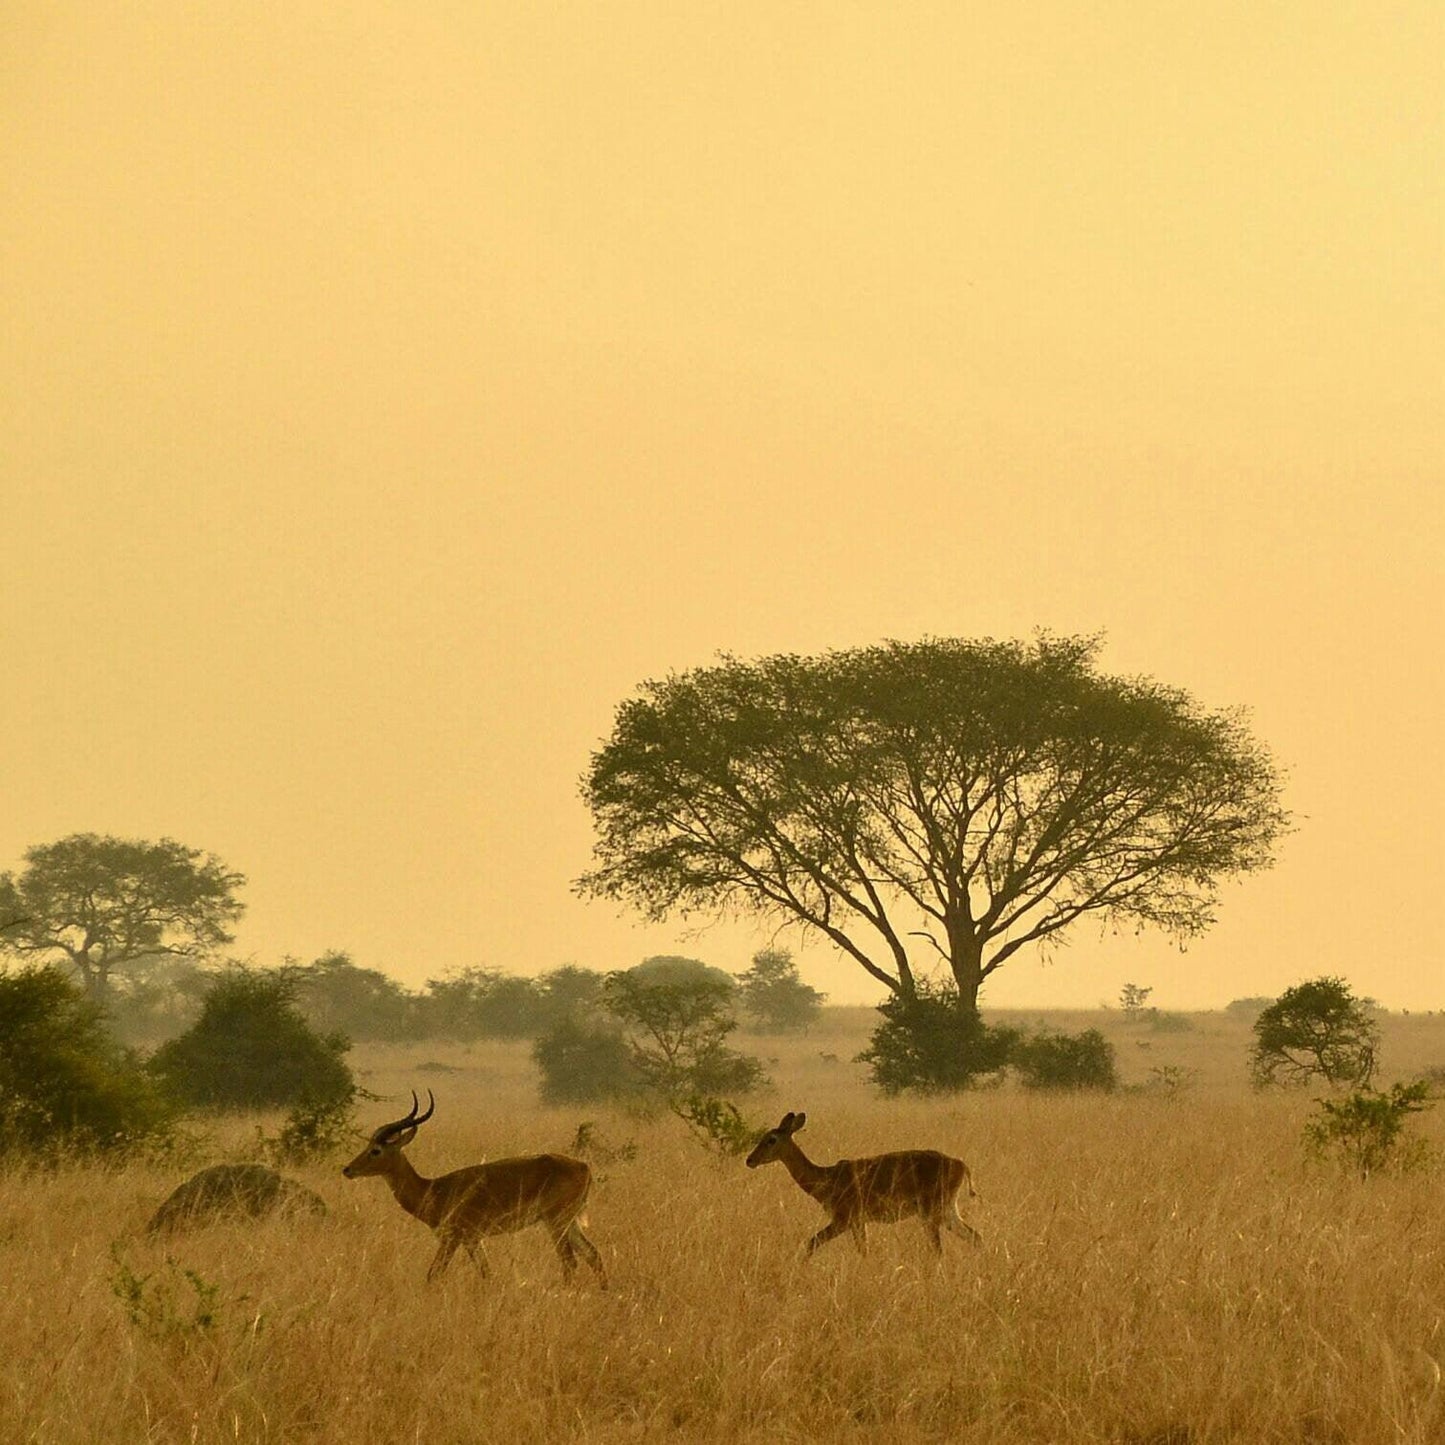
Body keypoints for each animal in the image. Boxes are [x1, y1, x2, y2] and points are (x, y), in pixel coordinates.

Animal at [343, 1086, 604, 1288]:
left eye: (376, 1150)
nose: (347, 1170)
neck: (433, 1190)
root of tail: (584, 1167)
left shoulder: (453, 1238)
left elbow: (433, 1273)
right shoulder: (473, 1240)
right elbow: (487, 1273)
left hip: (556, 1222)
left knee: (570, 1261)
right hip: (568, 1222)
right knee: (593, 1254)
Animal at [745, 1109, 982, 1260]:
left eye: (771, 1139)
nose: (750, 1160)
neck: (827, 1178)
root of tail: (960, 1164)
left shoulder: (843, 1220)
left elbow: (811, 1242)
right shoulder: (859, 1223)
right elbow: (864, 1251)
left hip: (930, 1213)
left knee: (939, 1250)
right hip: (948, 1210)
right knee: (975, 1236)